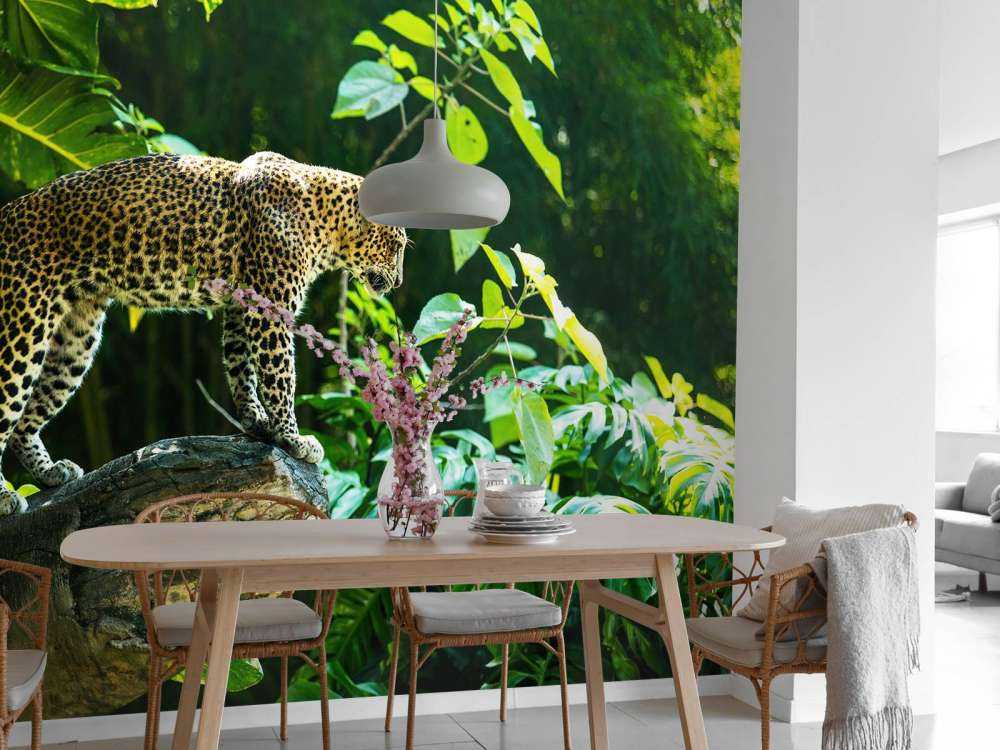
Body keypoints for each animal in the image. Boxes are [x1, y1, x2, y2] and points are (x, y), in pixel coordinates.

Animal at [0, 151, 407, 513]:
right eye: (397, 245)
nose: (400, 282)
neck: (326, 222)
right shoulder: (271, 310)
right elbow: (281, 375)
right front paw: (293, 438)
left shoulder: (242, 303)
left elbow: (241, 366)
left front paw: (256, 422)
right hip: (23, 325)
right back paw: (6, 497)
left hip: (77, 339)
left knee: (24, 423)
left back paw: (50, 472)